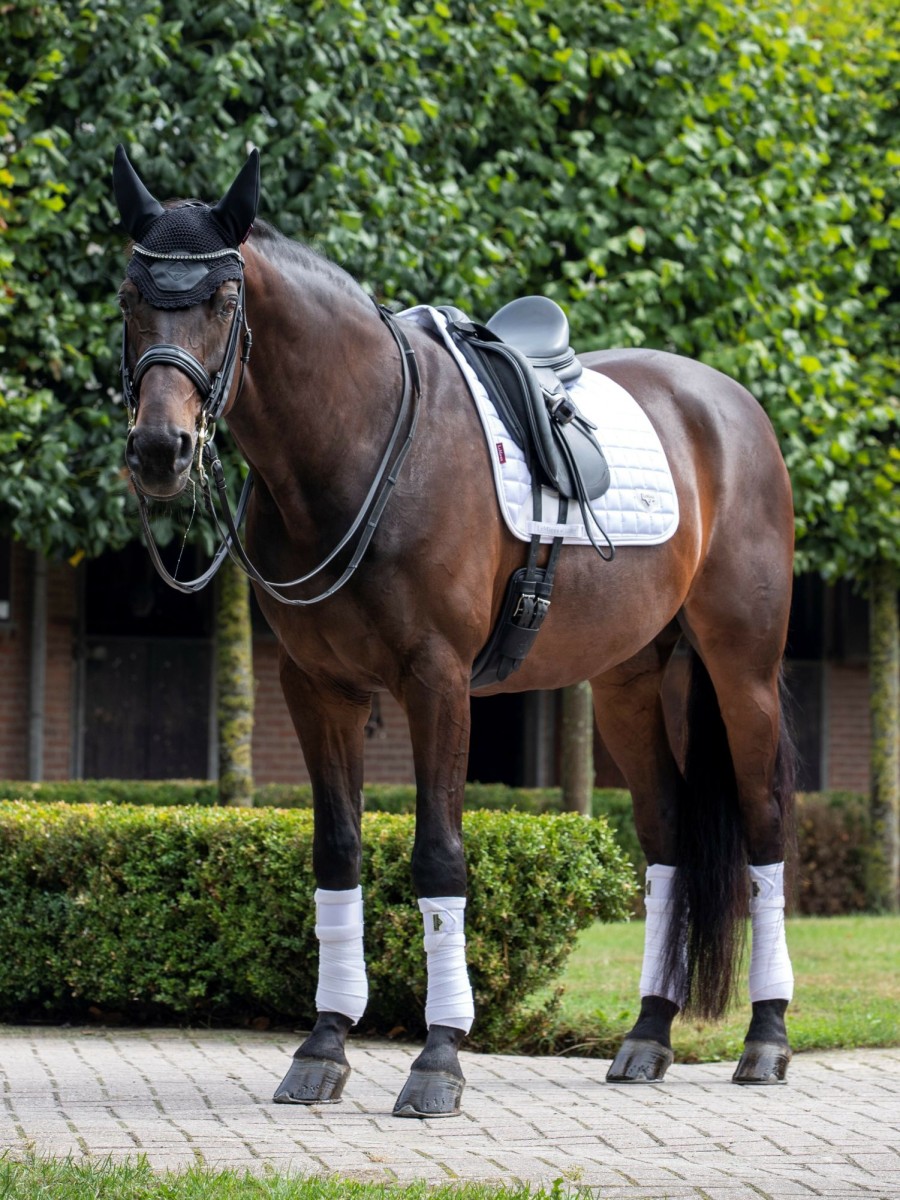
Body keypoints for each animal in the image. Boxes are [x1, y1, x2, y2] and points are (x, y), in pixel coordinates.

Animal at [111, 147, 796, 1113]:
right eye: (132, 294)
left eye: (224, 298)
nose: (160, 450)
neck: (360, 446)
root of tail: (730, 406)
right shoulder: (315, 688)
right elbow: (337, 853)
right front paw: (324, 1045)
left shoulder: (436, 681)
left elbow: (439, 858)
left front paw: (438, 1056)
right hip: (628, 682)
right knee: (665, 834)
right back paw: (648, 1035)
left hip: (742, 668)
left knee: (767, 822)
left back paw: (766, 1038)